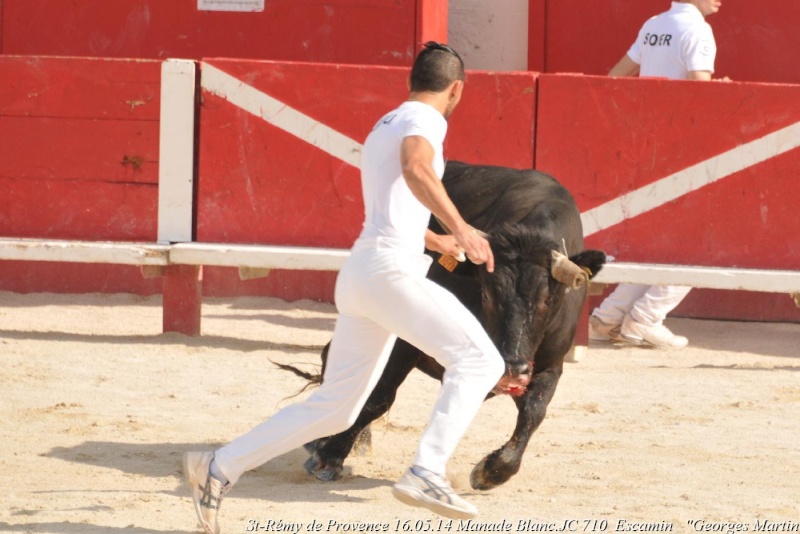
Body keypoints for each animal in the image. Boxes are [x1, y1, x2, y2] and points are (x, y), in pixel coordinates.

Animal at [296, 162, 608, 494]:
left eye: (548, 299)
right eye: (487, 294)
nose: (512, 368)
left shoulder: (550, 365)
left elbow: (533, 413)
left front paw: (491, 472)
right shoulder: (405, 342)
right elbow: (379, 397)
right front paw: (329, 455)